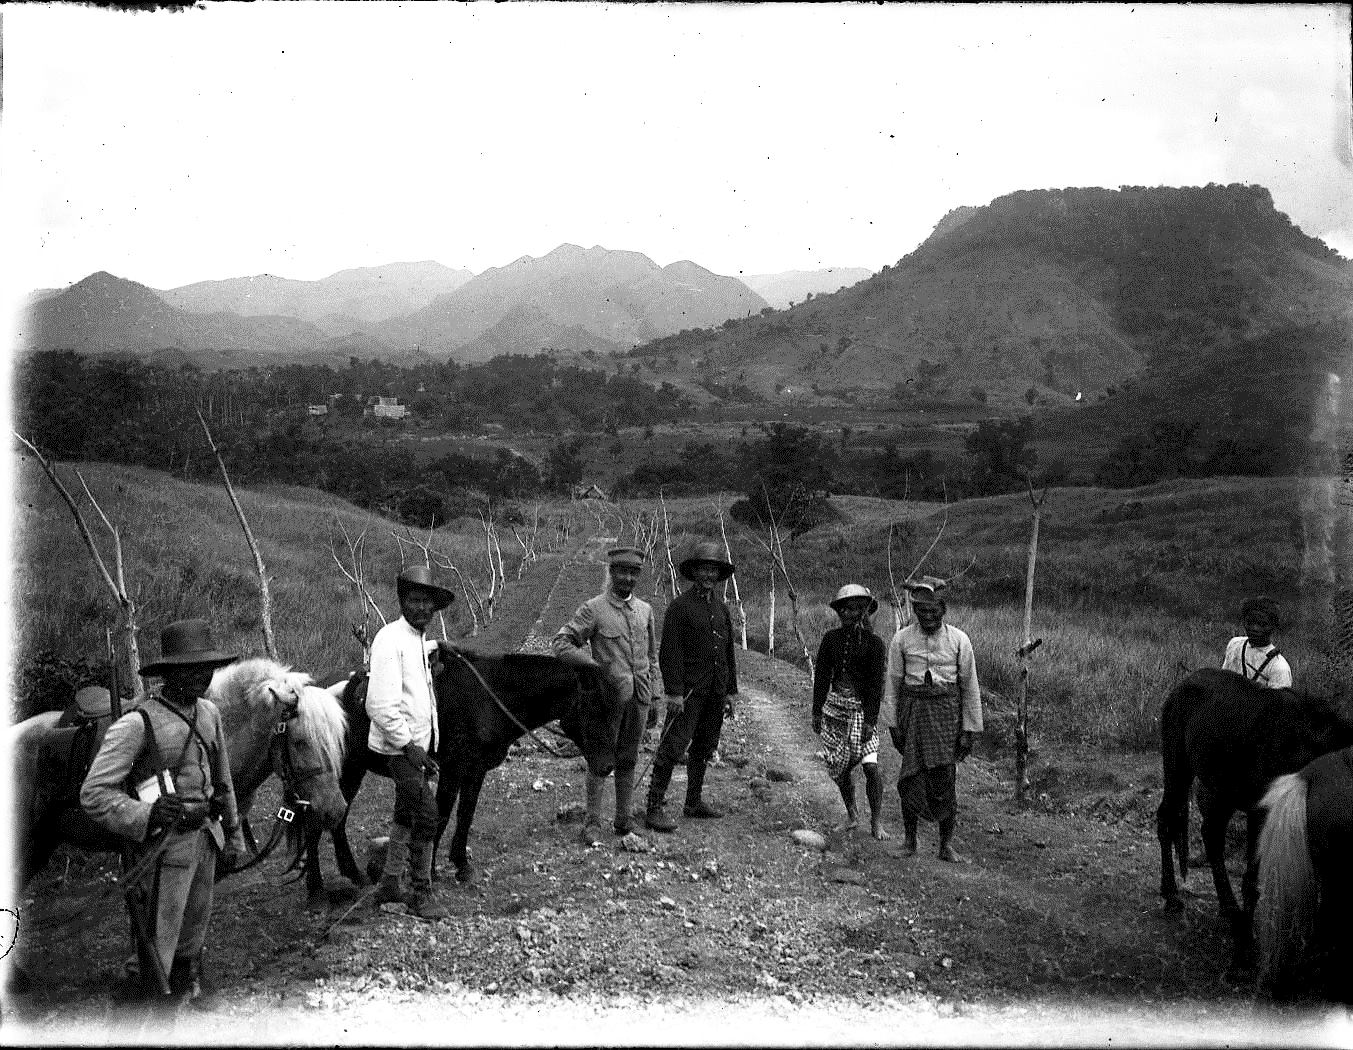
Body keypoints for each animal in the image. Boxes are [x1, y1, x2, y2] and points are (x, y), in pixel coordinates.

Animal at [316, 638, 598, 893]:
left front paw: (462, 865)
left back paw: (352, 875)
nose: (602, 761)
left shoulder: (476, 770)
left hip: (354, 769)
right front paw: (430, 870)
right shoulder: (452, 770)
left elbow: (465, 814)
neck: (489, 696)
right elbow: (442, 816)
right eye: (595, 705)